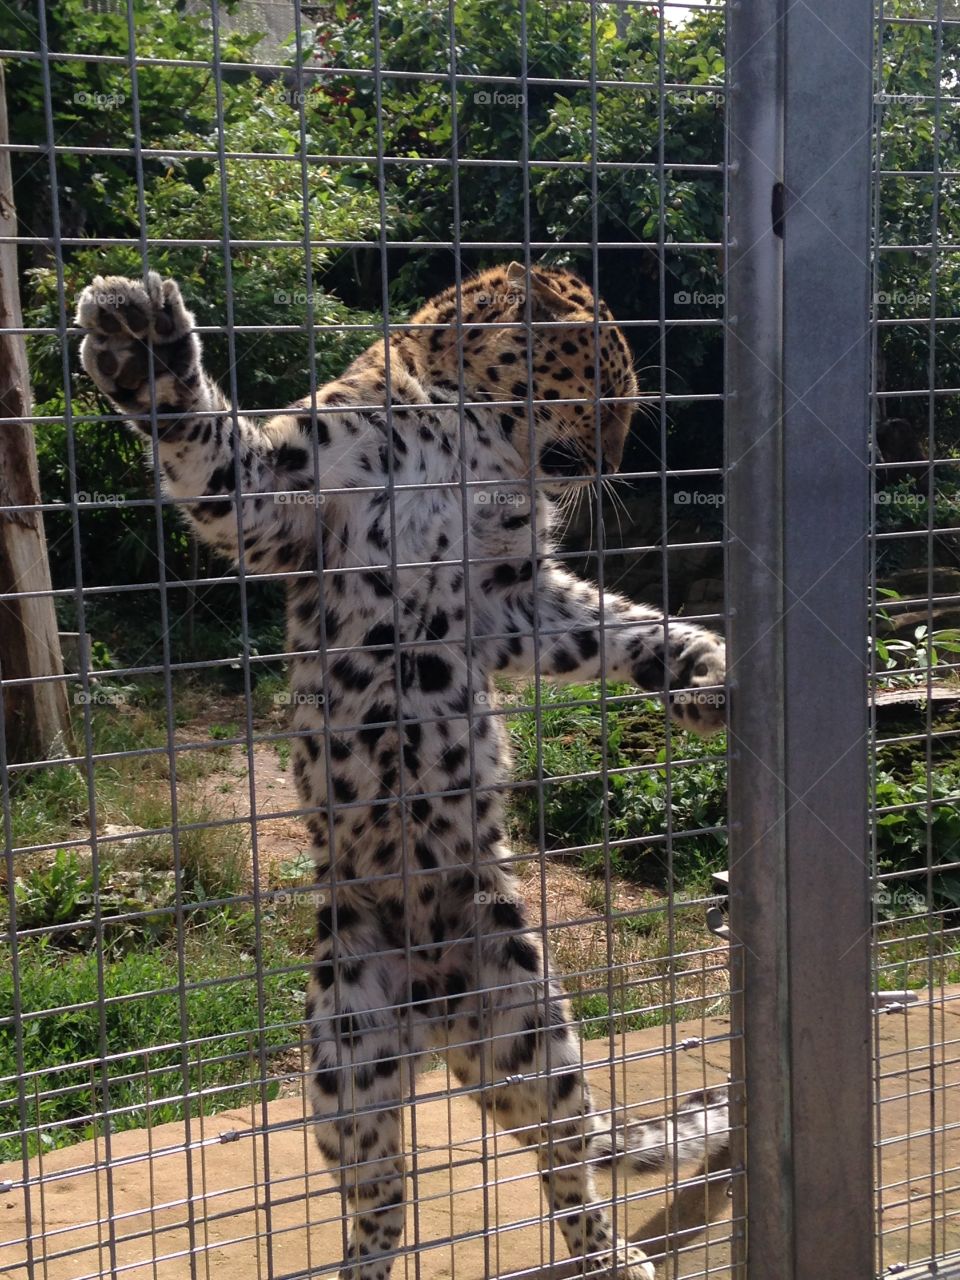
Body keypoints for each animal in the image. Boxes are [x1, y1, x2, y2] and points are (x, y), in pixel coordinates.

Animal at [77, 262, 727, 1280]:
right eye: (606, 388)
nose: (616, 461)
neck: (464, 432)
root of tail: (436, 1015)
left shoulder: (513, 597)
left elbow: (611, 624)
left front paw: (698, 667)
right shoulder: (279, 497)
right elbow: (207, 445)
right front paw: (138, 343)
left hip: (531, 1030)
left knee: (567, 1163)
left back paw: (609, 1254)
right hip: (345, 1057)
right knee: (383, 1193)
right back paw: (366, 1262)